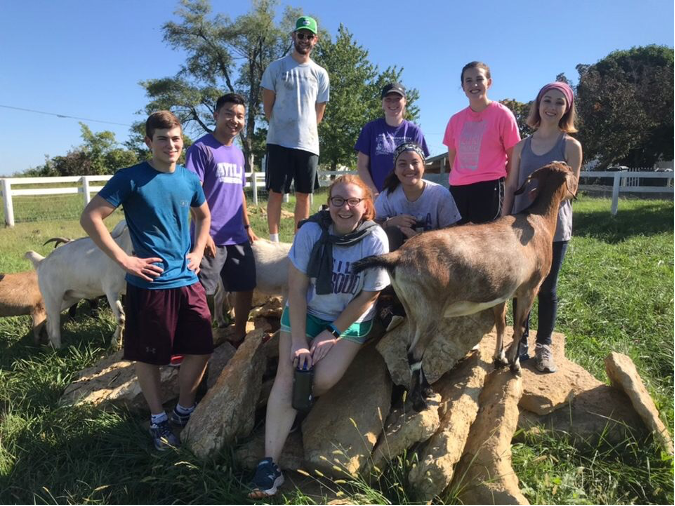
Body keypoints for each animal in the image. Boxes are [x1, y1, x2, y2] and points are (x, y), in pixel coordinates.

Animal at [352, 162, 580, 412]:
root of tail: (397, 257)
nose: (574, 194)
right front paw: (514, 365)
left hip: (412, 310)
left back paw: (426, 390)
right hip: (429, 313)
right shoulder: (530, 289)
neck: (538, 222)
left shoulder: (503, 293)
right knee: (415, 352)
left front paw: (499, 359)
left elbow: (501, 323)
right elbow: (519, 328)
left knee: (409, 346)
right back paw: (419, 402)